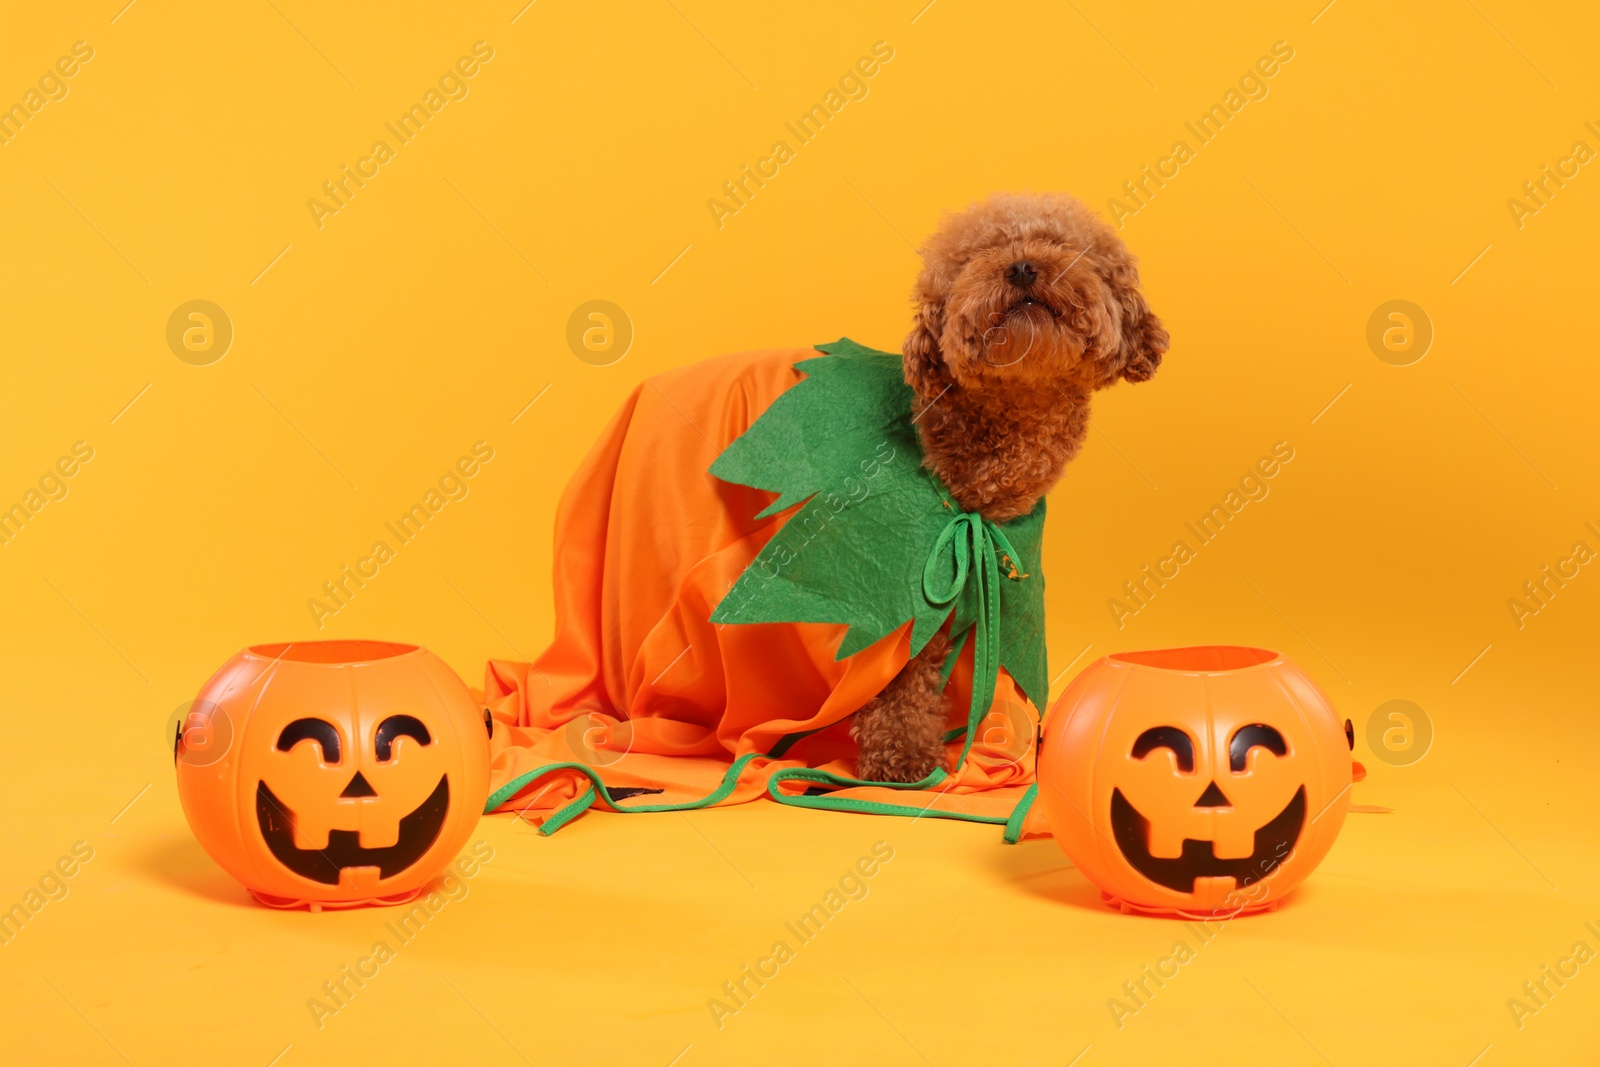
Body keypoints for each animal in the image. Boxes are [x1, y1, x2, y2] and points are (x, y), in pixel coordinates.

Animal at [857, 191, 1171, 780]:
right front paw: (901, 756)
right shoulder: (898, 587)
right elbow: (897, 671)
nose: (1022, 266)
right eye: (976, 257)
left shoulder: (993, 579)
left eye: (1059, 243)